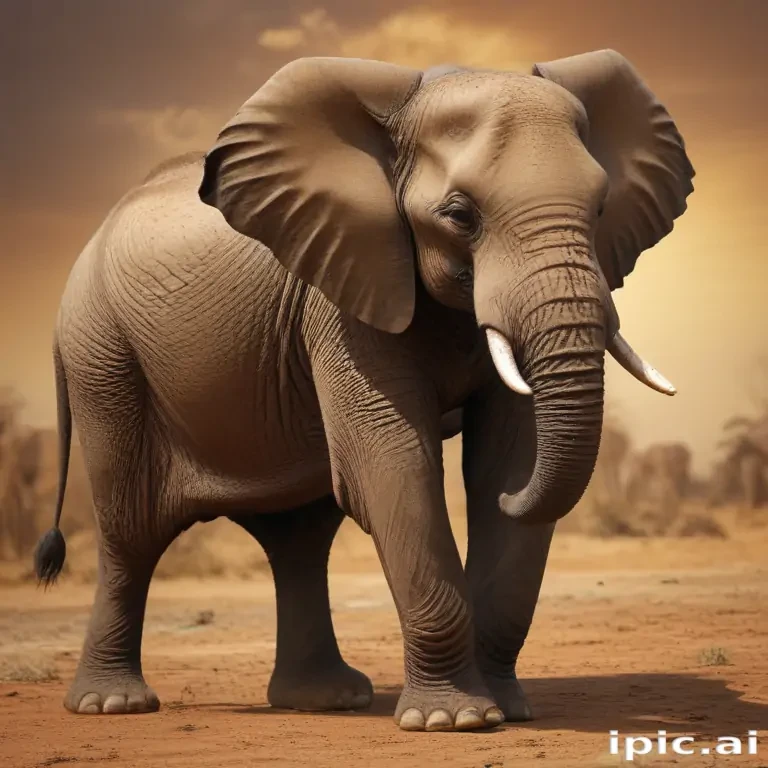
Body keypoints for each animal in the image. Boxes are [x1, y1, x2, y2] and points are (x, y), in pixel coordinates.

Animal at [33, 50, 694, 732]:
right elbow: (393, 461)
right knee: (131, 534)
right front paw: (454, 721)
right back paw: (113, 704)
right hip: (103, 358)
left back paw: (324, 700)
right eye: (460, 215)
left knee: (298, 540)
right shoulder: (341, 290)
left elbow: (505, 455)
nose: (517, 500)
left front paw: (507, 710)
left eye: (600, 209)